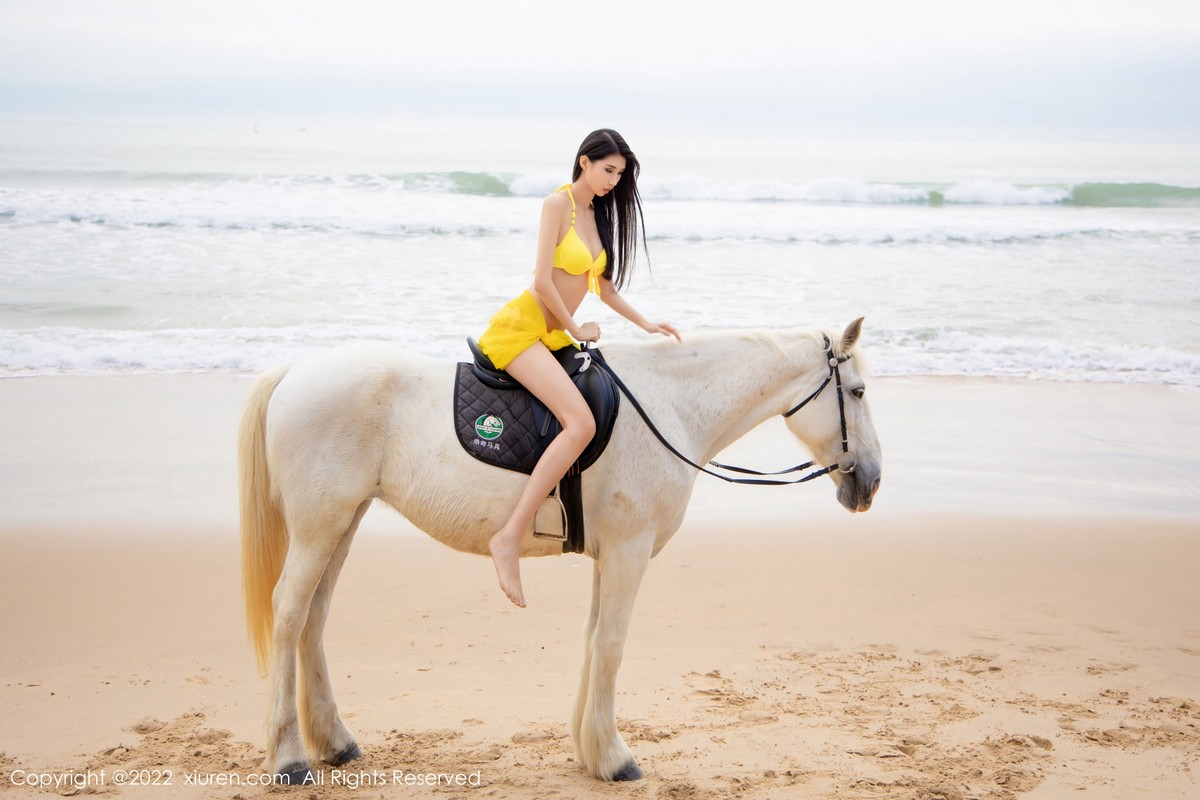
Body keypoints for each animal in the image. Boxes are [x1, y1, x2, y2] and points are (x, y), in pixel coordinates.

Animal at [238, 318, 882, 784]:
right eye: (857, 391)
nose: (871, 482)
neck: (669, 403)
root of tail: (296, 371)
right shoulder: (628, 551)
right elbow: (613, 647)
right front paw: (616, 759)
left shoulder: (610, 554)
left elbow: (593, 642)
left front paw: (591, 750)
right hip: (320, 527)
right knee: (289, 615)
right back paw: (290, 759)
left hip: (340, 524)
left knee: (313, 620)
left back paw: (336, 743)